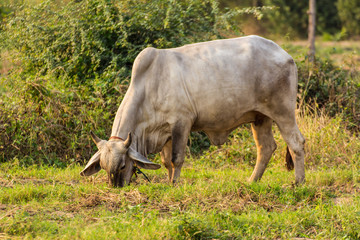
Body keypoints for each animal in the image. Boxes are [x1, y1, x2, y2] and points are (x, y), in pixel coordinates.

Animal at [80, 34, 306, 187]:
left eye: (122, 166)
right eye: (103, 167)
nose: (116, 187)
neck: (149, 84)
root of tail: (286, 55)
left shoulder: (182, 122)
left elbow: (176, 158)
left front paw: (174, 184)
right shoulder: (165, 132)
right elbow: (166, 161)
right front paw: (169, 181)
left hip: (283, 112)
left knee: (296, 143)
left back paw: (298, 183)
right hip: (260, 118)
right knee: (265, 148)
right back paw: (252, 180)